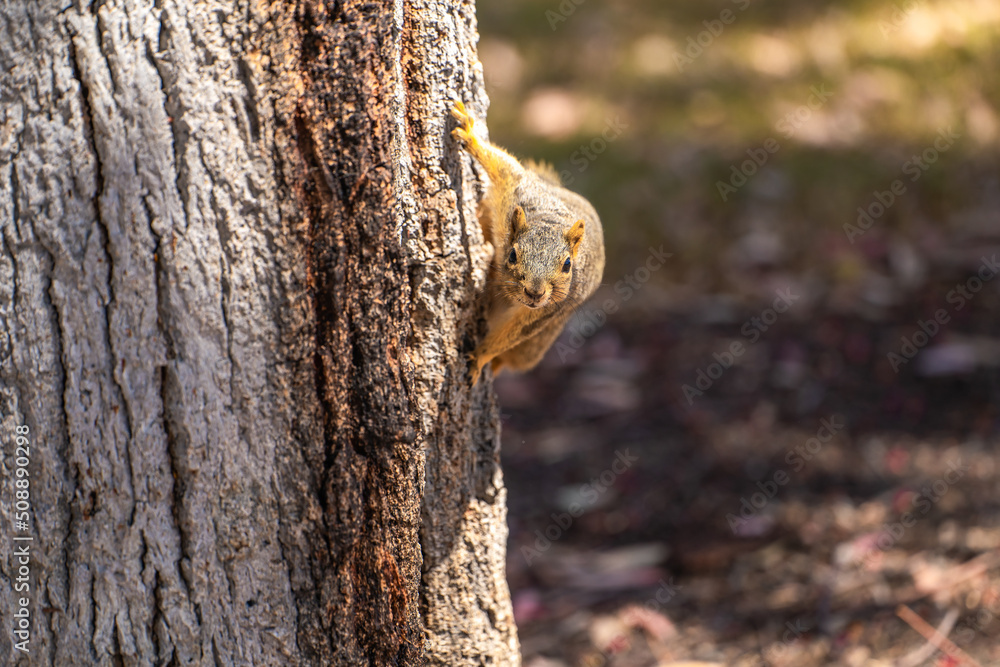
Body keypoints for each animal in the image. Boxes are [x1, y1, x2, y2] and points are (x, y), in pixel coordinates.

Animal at [450, 100, 605, 383]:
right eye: (512, 255)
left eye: (568, 265)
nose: (534, 292)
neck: (549, 222)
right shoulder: (518, 191)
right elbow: (504, 168)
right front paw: (471, 136)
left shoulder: (549, 310)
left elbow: (515, 333)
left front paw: (480, 357)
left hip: (538, 343)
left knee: (515, 357)